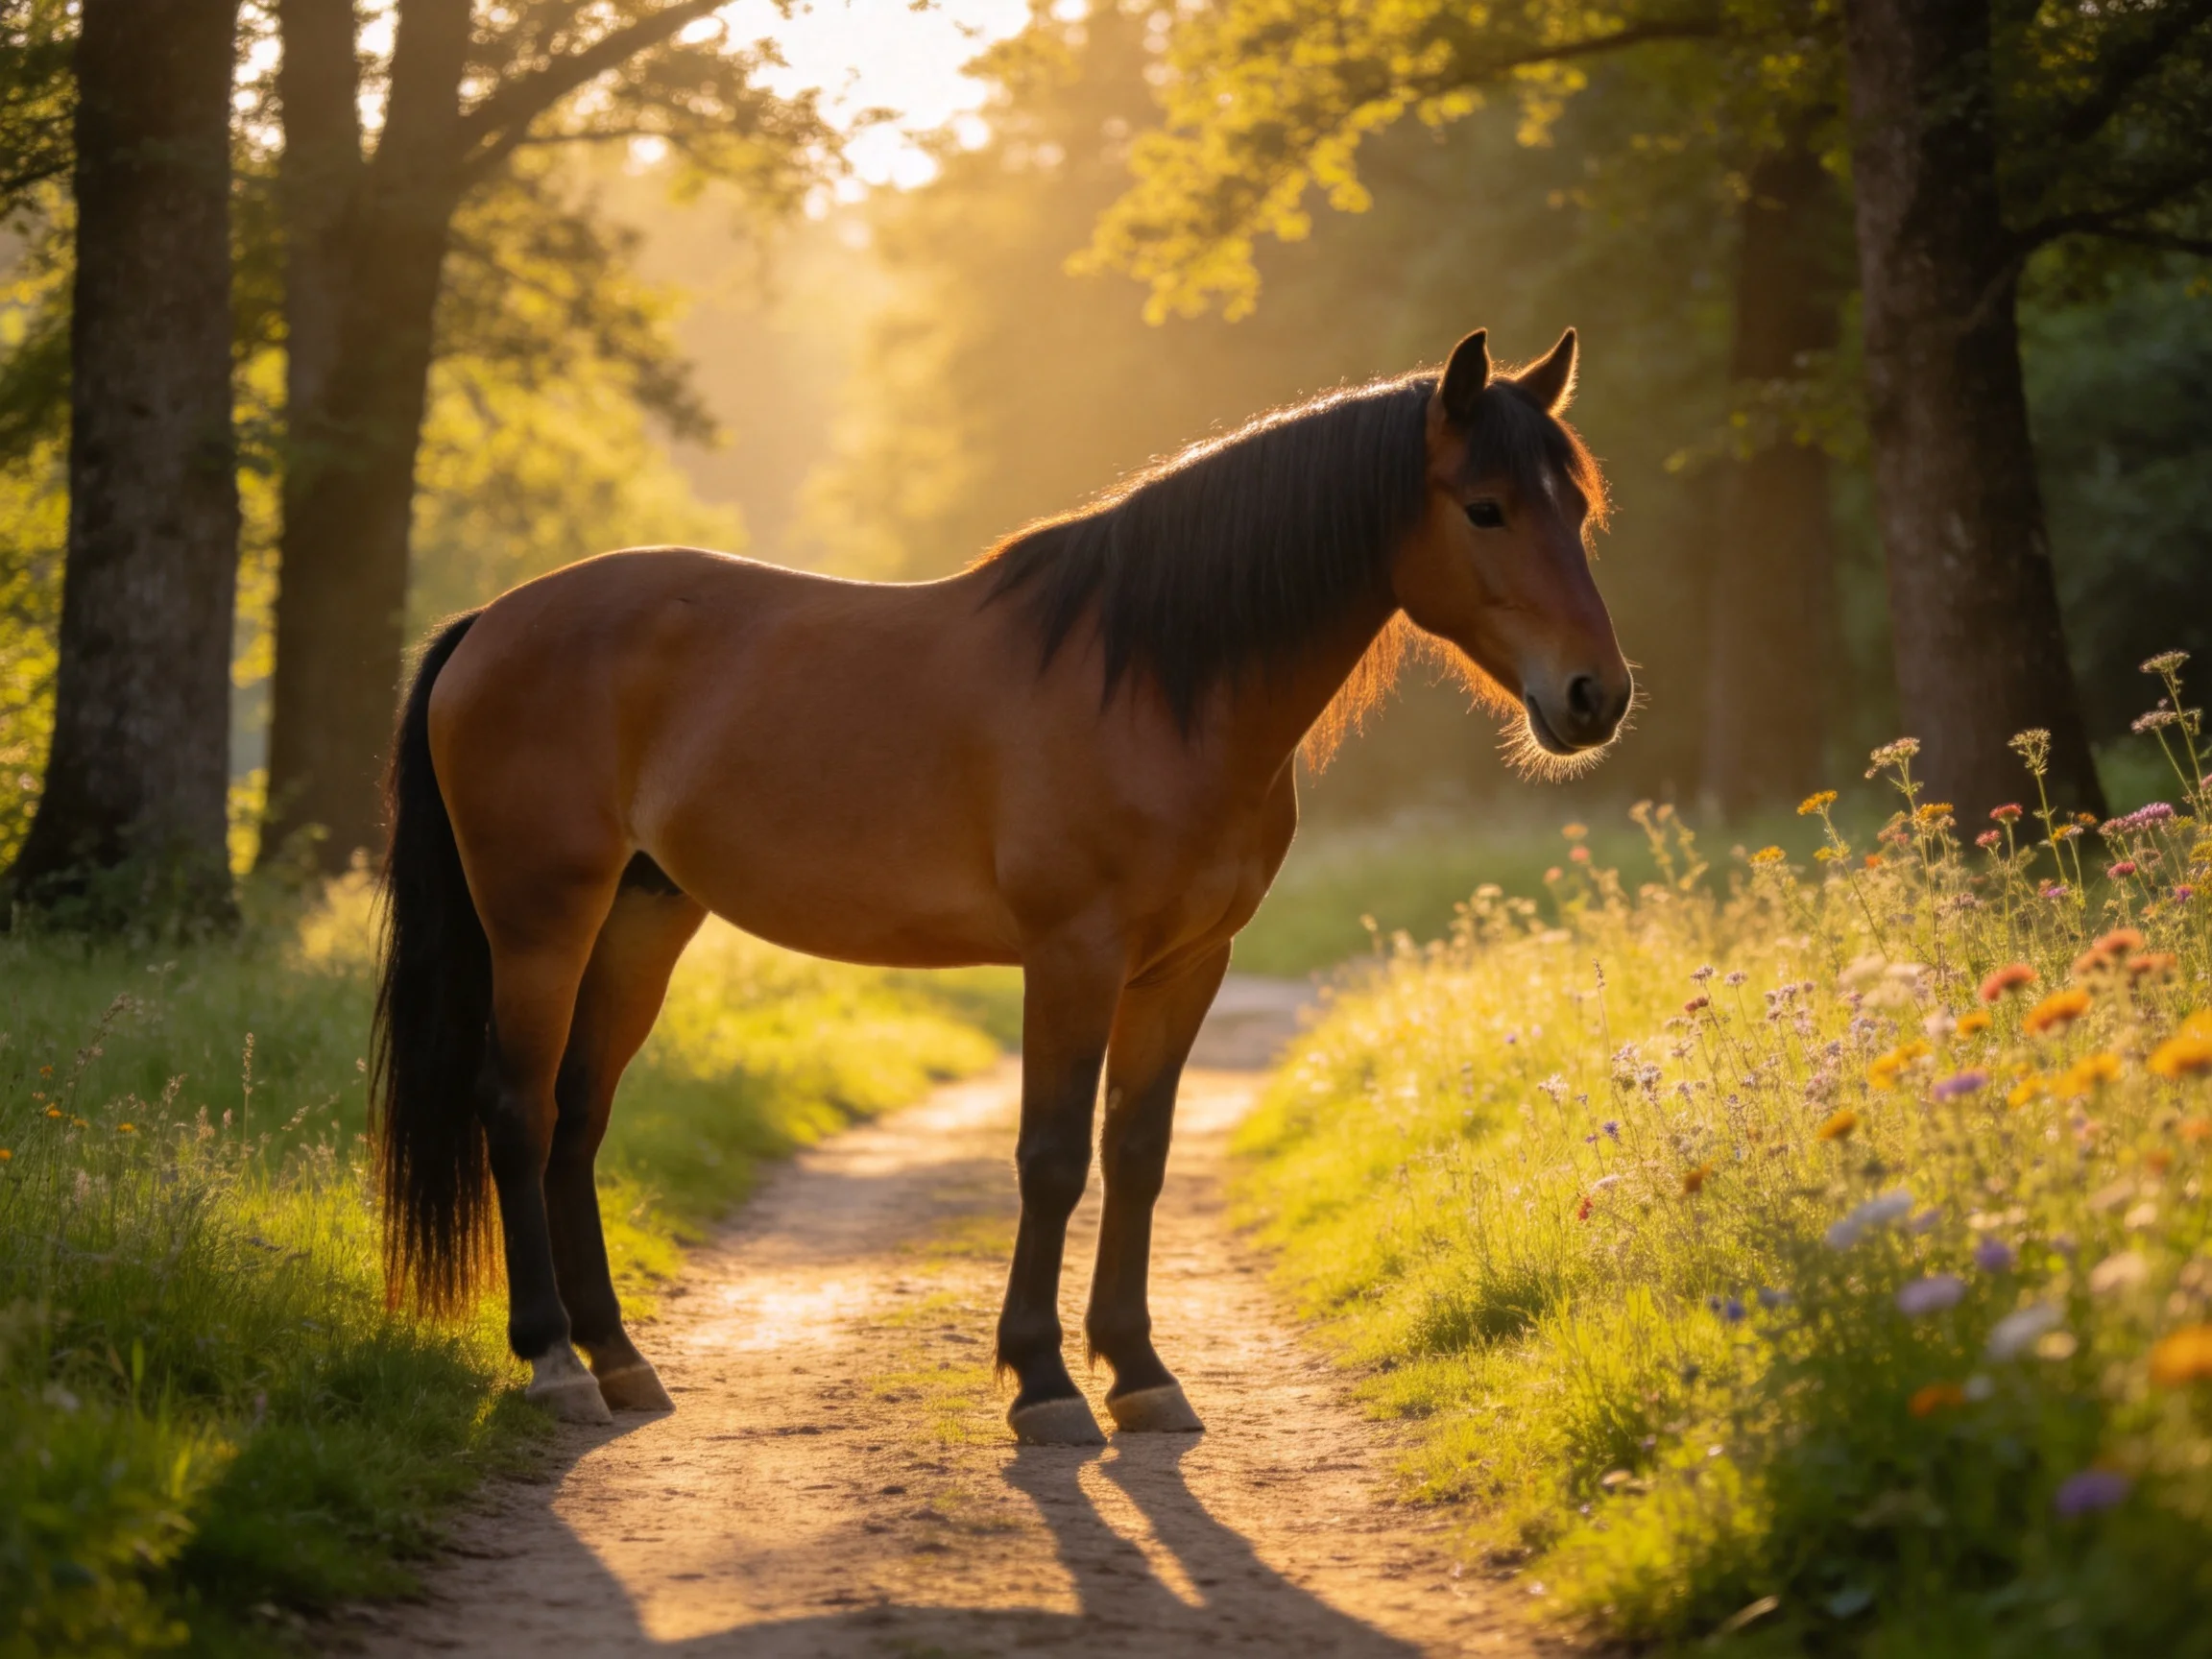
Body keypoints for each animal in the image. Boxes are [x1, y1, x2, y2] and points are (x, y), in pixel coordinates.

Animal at [371, 326, 1631, 1445]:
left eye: (1576, 509)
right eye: (1484, 507)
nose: (1595, 696)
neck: (1155, 687)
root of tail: (493, 622)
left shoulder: (1186, 966)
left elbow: (1137, 1154)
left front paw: (1141, 1374)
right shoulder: (1073, 956)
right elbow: (1052, 1157)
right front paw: (1045, 1384)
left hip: (641, 920)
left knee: (580, 1116)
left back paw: (619, 1359)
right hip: (541, 922)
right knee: (518, 1111)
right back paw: (552, 1363)